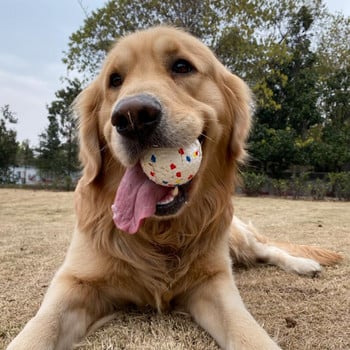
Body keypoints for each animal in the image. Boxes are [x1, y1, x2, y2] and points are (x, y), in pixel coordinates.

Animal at [7, 26, 342, 348]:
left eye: (182, 66)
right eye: (114, 80)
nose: (131, 116)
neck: (159, 232)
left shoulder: (214, 280)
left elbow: (248, 332)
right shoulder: (75, 281)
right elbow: (40, 327)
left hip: (236, 237)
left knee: (269, 250)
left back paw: (304, 264)